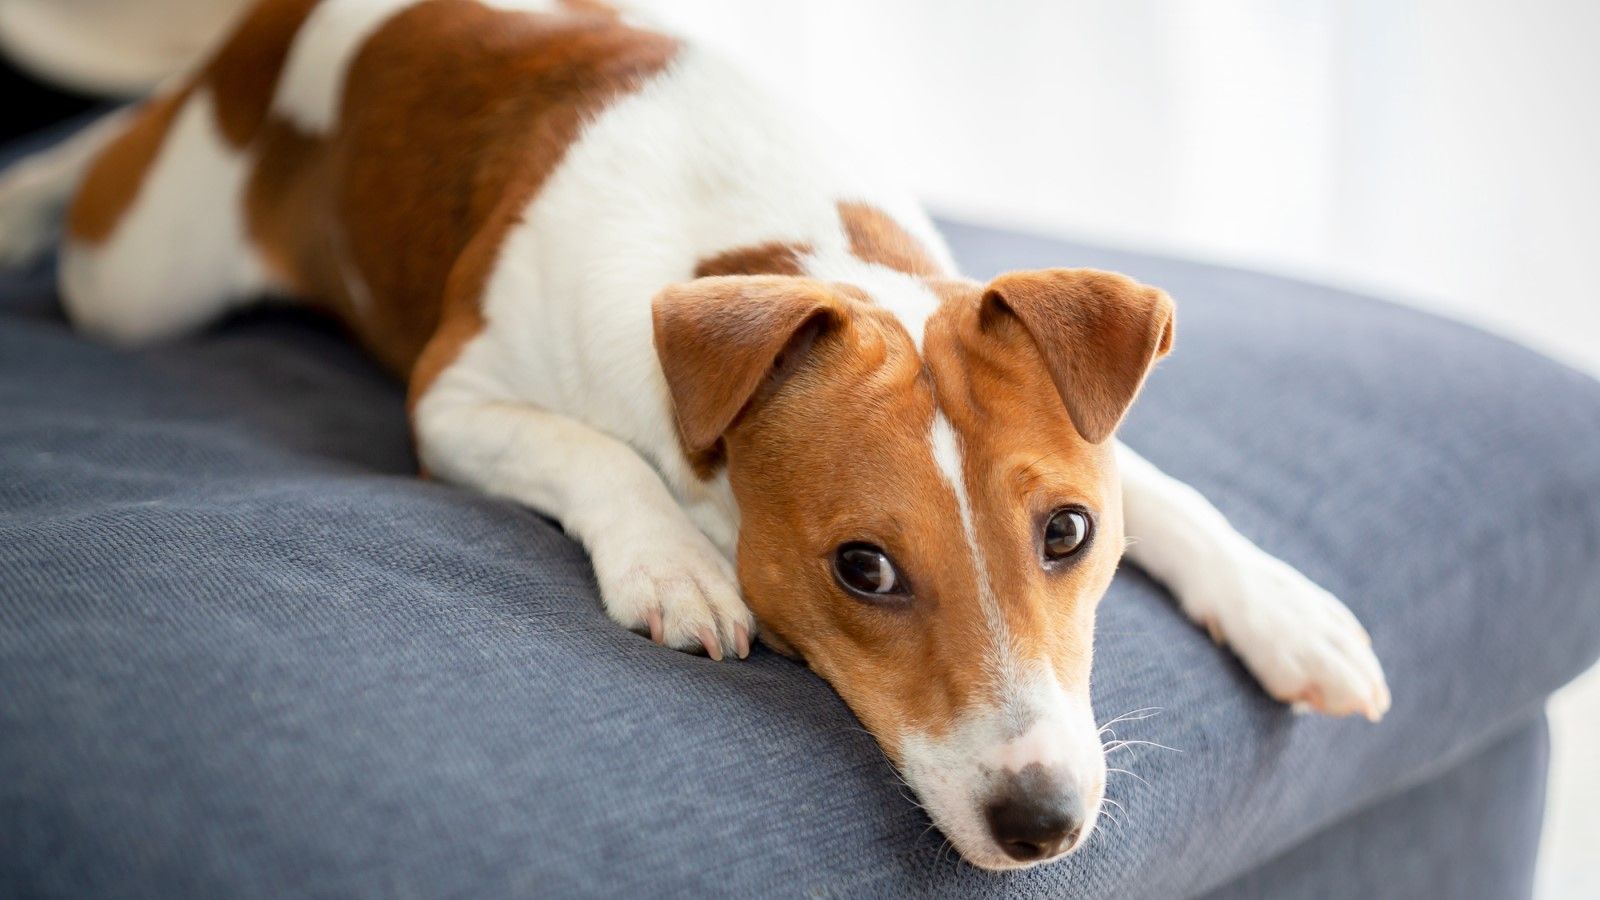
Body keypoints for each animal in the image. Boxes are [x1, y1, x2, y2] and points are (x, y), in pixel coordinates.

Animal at [0, 0, 1388, 871]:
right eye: (862, 569)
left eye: (1067, 534)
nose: (1041, 822)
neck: (766, 250)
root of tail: (277, 20)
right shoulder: (454, 401)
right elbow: (598, 452)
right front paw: (675, 566)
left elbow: (1173, 491)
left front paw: (1289, 610)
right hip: (137, 276)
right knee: (114, 144)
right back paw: (27, 196)